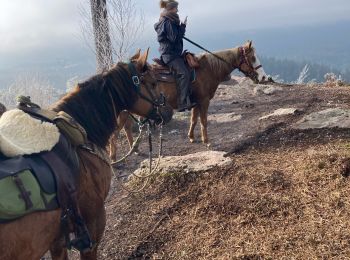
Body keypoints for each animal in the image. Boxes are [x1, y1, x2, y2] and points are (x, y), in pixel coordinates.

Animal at [109, 40, 268, 158]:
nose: (263, 77)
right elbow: (203, 121)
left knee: (126, 128)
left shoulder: (195, 102)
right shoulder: (204, 101)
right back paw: (114, 158)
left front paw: (191, 137)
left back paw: (134, 149)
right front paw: (206, 141)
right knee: (115, 132)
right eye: (253, 58)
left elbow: (194, 119)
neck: (208, 69)